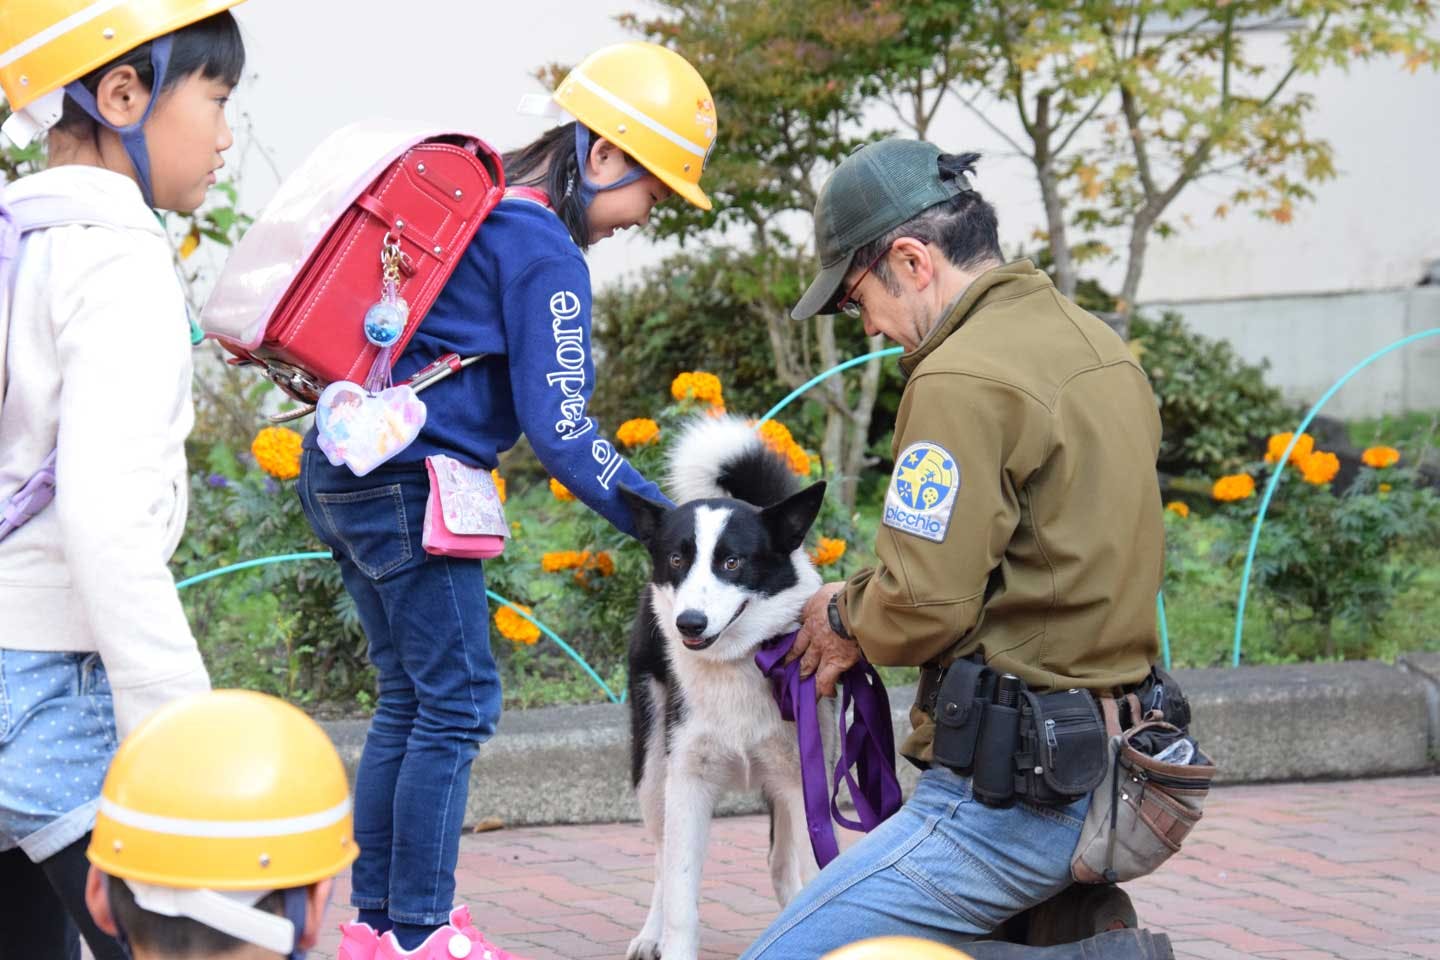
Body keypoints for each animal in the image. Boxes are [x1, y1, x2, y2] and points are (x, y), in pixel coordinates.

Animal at [616, 417, 835, 960]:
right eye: (676, 559)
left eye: (733, 563)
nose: (689, 623)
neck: (735, 661)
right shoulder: (687, 780)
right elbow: (680, 893)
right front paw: (669, 939)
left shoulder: (804, 781)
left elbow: (811, 874)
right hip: (651, 769)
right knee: (660, 859)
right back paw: (649, 935)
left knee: (782, 863)